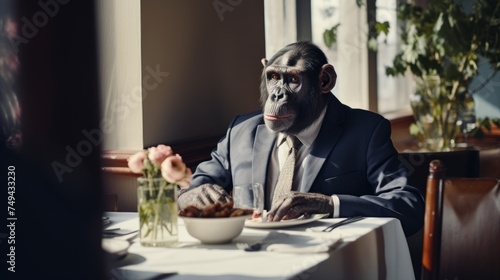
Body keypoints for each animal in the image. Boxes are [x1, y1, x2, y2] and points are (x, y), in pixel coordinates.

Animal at [178, 41, 424, 237]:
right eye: (274, 77)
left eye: (293, 79)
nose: (277, 95)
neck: (295, 135)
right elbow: (197, 180)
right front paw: (204, 195)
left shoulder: (378, 135)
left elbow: (402, 195)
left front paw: (302, 201)